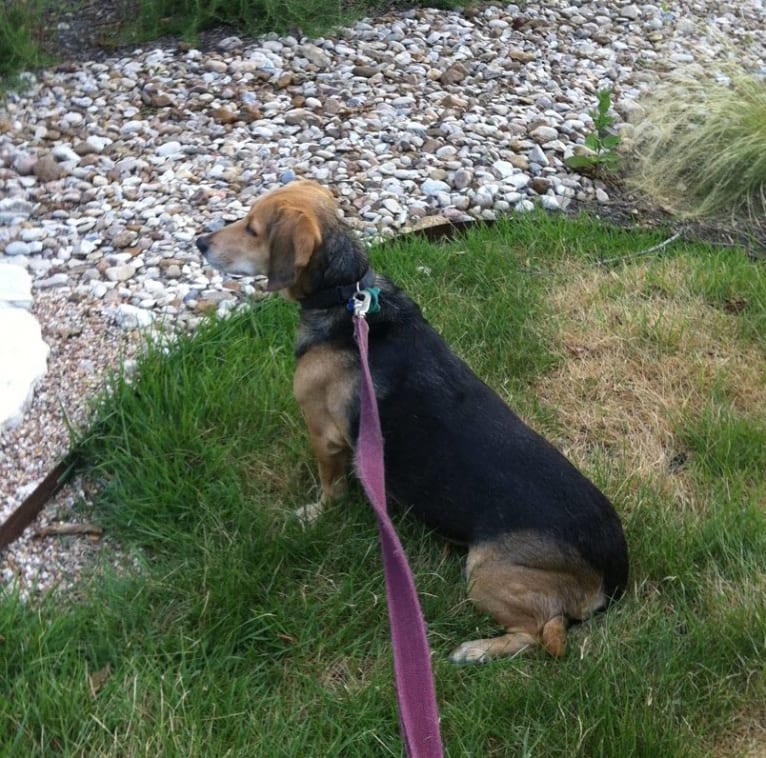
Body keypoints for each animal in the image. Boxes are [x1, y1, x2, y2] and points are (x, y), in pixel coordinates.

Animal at [196, 180, 632, 664]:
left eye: (252, 230)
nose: (200, 242)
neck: (346, 298)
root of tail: (613, 577)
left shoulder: (323, 434)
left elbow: (329, 487)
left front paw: (314, 512)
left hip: (484, 571)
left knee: (541, 635)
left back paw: (477, 649)